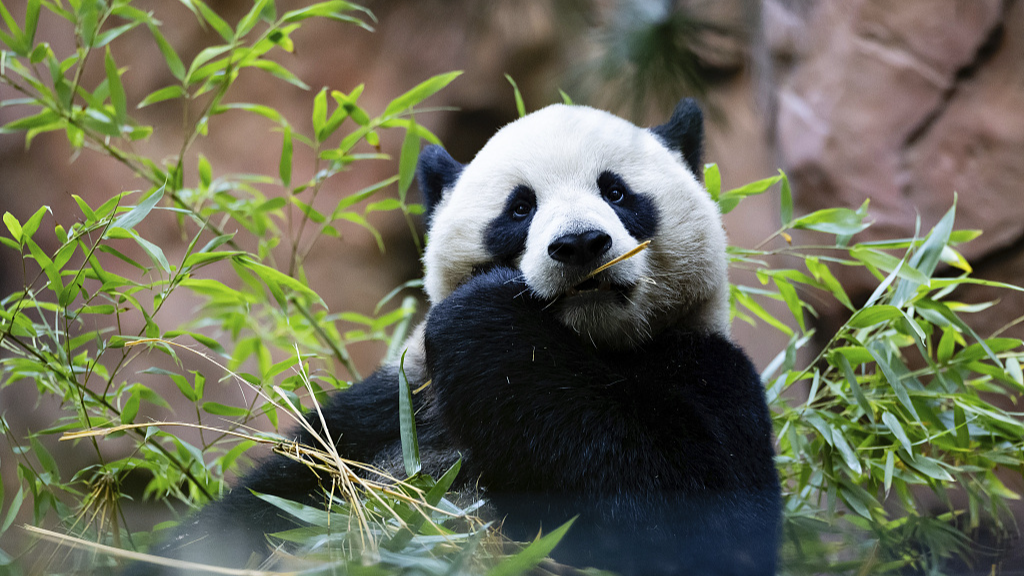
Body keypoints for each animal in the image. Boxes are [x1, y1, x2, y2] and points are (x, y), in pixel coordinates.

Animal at [132, 98, 778, 573]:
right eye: (520, 208)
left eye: (616, 192)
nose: (579, 245)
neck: (586, 345)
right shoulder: (389, 410)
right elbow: (264, 502)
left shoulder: (709, 373)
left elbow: (693, 520)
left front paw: (488, 319)